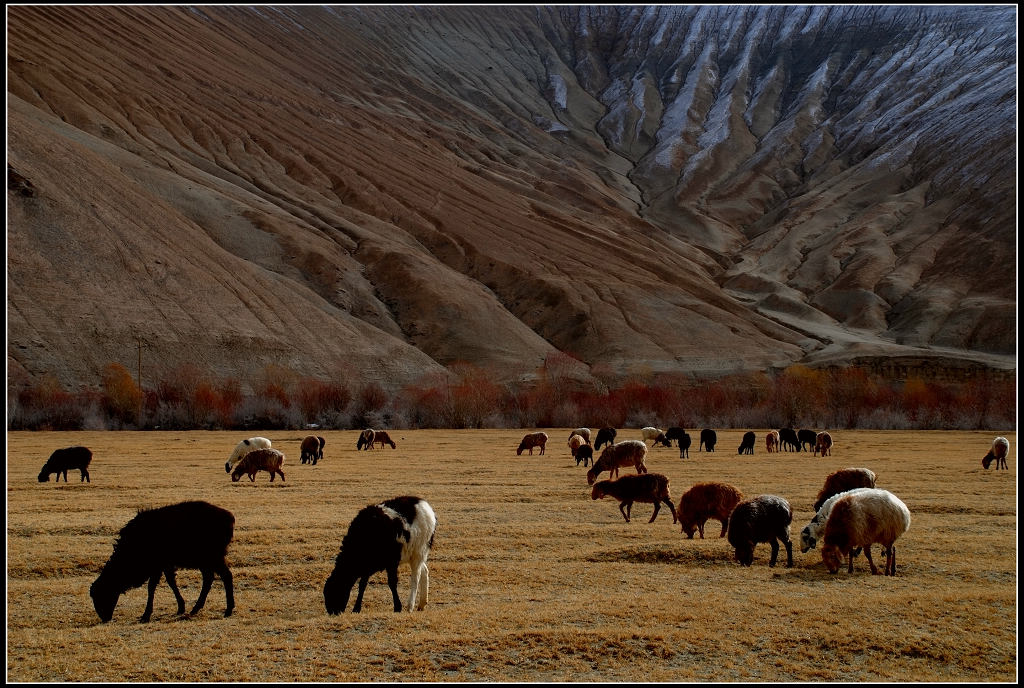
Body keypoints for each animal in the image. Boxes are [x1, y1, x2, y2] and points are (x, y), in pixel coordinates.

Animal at [90, 499, 235, 622]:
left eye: (102, 595)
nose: (105, 618)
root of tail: (229, 517)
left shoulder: (157, 566)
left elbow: (151, 587)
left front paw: (146, 615)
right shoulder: (166, 565)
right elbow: (171, 582)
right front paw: (181, 607)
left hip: (213, 557)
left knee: (226, 576)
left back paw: (228, 610)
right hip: (205, 560)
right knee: (208, 579)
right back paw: (196, 608)